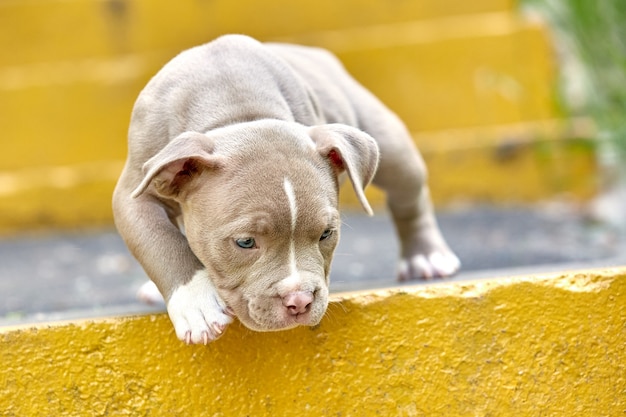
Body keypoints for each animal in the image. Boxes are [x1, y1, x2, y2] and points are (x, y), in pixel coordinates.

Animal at [113, 33, 458, 344]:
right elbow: (161, 242)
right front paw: (198, 305)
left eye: (326, 234)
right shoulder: (135, 192)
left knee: (408, 194)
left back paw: (426, 257)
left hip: (386, 143)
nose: (300, 300)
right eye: (245, 242)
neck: (234, 111)